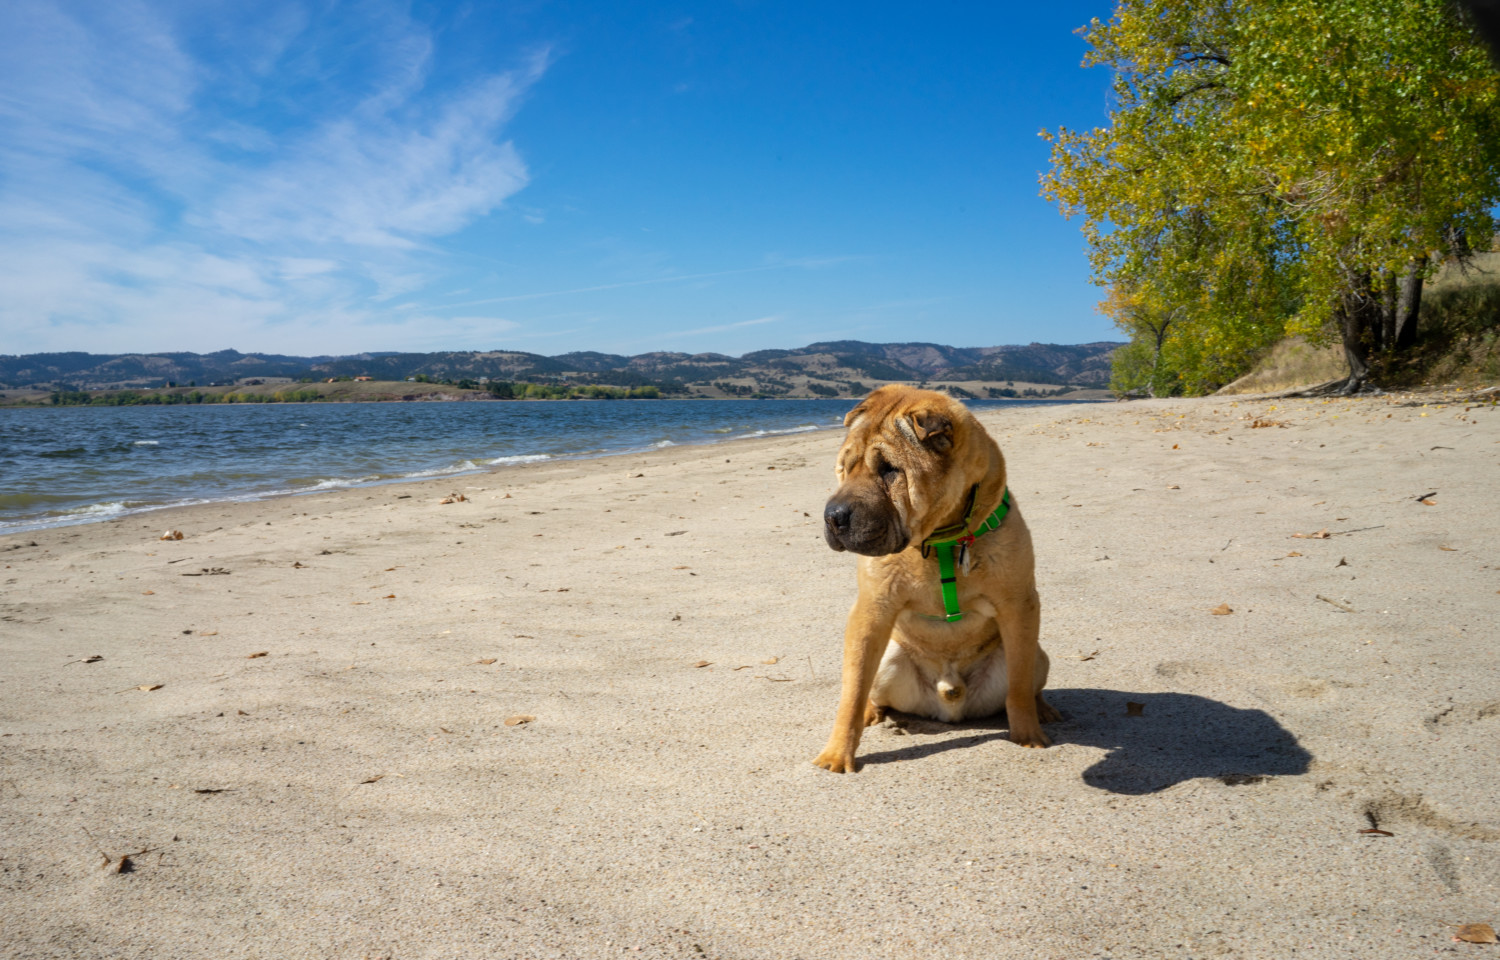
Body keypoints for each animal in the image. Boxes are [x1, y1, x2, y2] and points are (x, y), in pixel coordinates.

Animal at [816, 384, 1062, 774]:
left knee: (1025, 682)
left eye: (889, 470)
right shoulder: (871, 612)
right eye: (845, 467)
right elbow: (852, 691)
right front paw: (837, 754)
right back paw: (875, 713)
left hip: (1038, 653)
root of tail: (950, 699)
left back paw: (1044, 709)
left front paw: (1029, 736)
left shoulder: (1019, 605)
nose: (833, 517)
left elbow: (1020, 687)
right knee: (870, 689)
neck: (941, 541)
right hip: (888, 657)